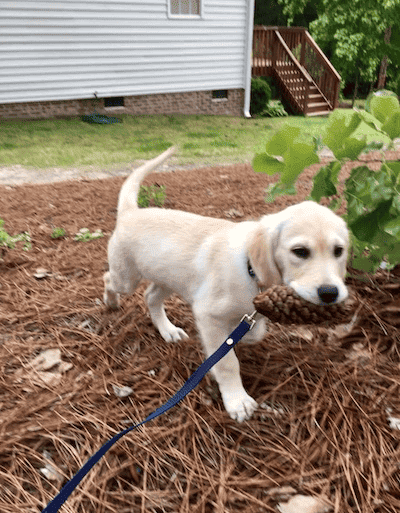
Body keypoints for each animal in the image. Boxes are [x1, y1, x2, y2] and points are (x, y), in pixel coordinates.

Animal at [104, 148, 348, 420]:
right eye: (300, 251)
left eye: (339, 251)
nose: (330, 293)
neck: (249, 269)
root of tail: (130, 212)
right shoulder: (207, 314)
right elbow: (227, 362)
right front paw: (237, 400)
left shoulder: (249, 314)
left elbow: (253, 332)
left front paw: (246, 338)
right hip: (126, 277)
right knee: (109, 280)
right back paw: (111, 302)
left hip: (168, 277)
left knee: (151, 297)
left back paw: (168, 330)